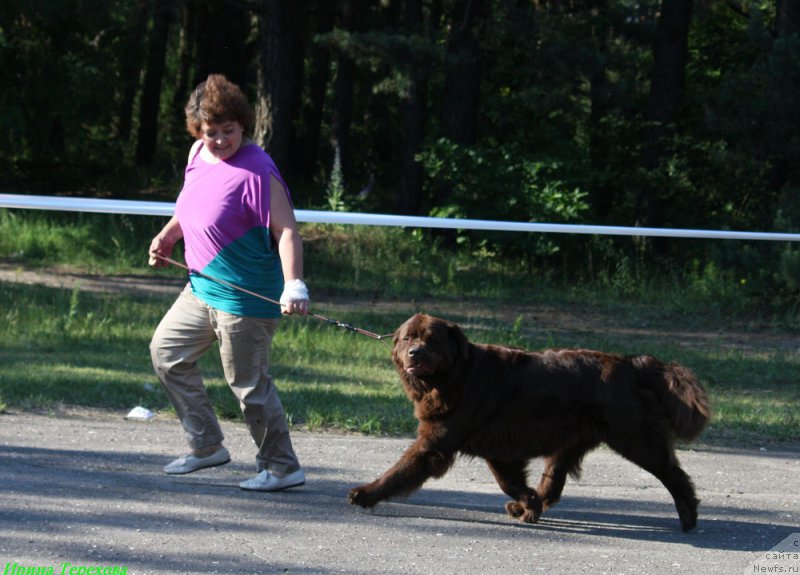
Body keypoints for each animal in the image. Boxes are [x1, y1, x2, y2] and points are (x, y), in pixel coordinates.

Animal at [346, 316, 708, 532]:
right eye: (408, 339)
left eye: (431, 340)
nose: (415, 353)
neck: (454, 376)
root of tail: (631, 364)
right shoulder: (497, 447)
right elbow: (509, 480)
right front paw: (528, 503)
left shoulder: (437, 441)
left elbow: (401, 469)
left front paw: (365, 493)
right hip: (575, 436)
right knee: (554, 477)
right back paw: (529, 508)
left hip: (632, 435)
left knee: (673, 473)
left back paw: (689, 517)